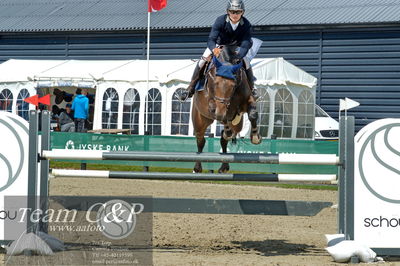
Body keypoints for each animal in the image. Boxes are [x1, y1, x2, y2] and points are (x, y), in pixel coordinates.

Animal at [191, 45, 260, 175]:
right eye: (215, 83)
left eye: (233, 85)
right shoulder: (213, 106)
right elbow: (221, 116)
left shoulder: (248, 99)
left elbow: (253, 114)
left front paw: (255, 137)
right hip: (200, 120)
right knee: (200, 140)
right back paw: (197, 168)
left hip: (238, 125)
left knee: (224, 138)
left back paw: (224, 166)